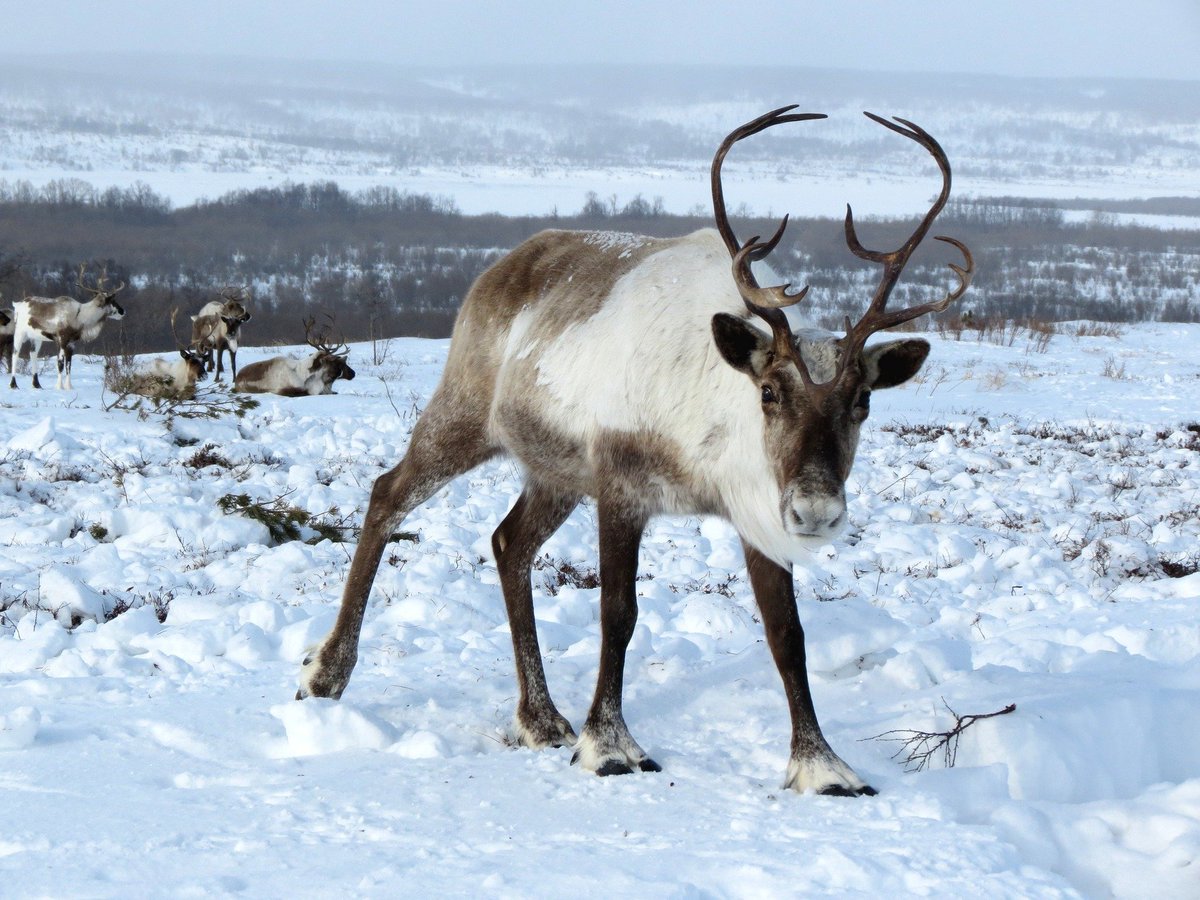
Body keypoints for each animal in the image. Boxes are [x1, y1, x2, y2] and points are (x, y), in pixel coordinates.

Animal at [296, 107, 973, 796]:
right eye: (769, 391)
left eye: (863, 399)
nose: (815, 511)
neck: (707, 443)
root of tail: (502, 265)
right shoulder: (621, 489)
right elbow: (617, 613)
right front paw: (610, 745)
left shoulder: (754, 512)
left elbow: (787, 632)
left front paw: (822, 764)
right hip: (464, 413)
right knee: (388, 493)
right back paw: (326, 673)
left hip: (557, 472)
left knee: (509, 543)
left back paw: (540, 718)